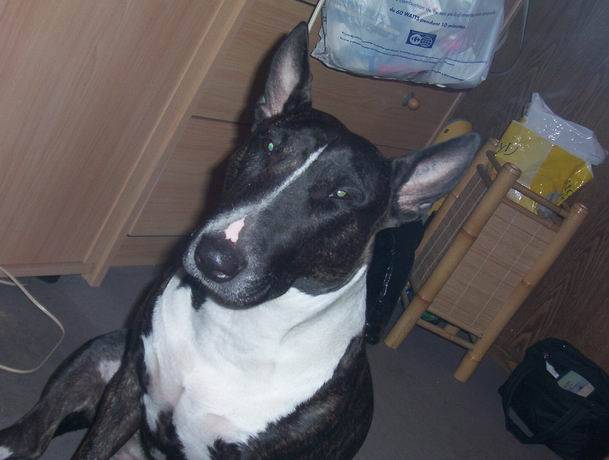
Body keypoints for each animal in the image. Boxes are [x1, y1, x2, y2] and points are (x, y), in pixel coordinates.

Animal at [0, 22, 479, 459]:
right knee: (32, 436)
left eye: (343, 196)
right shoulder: (129, 386)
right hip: (106, 351)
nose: (214, 258)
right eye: (268, 146)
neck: (231, 329)